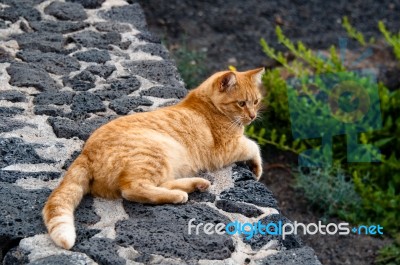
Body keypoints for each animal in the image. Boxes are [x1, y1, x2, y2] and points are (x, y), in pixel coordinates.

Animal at [43, 67, 266, 249]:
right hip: (156, 152)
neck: (207, 104)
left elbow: (251, 144)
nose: (253, 116)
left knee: (161, 183)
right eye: (241, 103)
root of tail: (86, 152)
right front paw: (257, 167)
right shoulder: (227, 149)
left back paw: (196, 185)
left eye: (256, 102)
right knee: (133, 189)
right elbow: (253, 145)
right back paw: (178, 195)